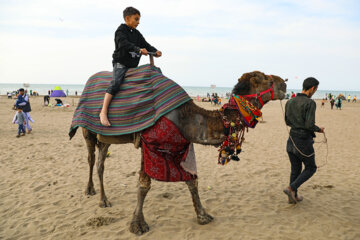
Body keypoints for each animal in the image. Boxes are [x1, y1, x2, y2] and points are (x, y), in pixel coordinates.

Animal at [72, 68, 286, 234]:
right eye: (266, 79)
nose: (285, 83)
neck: (185, 117)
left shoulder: (181, 146)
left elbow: (192, 181)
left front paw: (203, 216)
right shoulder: (149, 145)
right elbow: (144, 184)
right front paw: (137, 225)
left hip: (106, 138)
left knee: (101, 162)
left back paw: (103, 198)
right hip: (88, 131)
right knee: (91, 159)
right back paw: (93, 193)